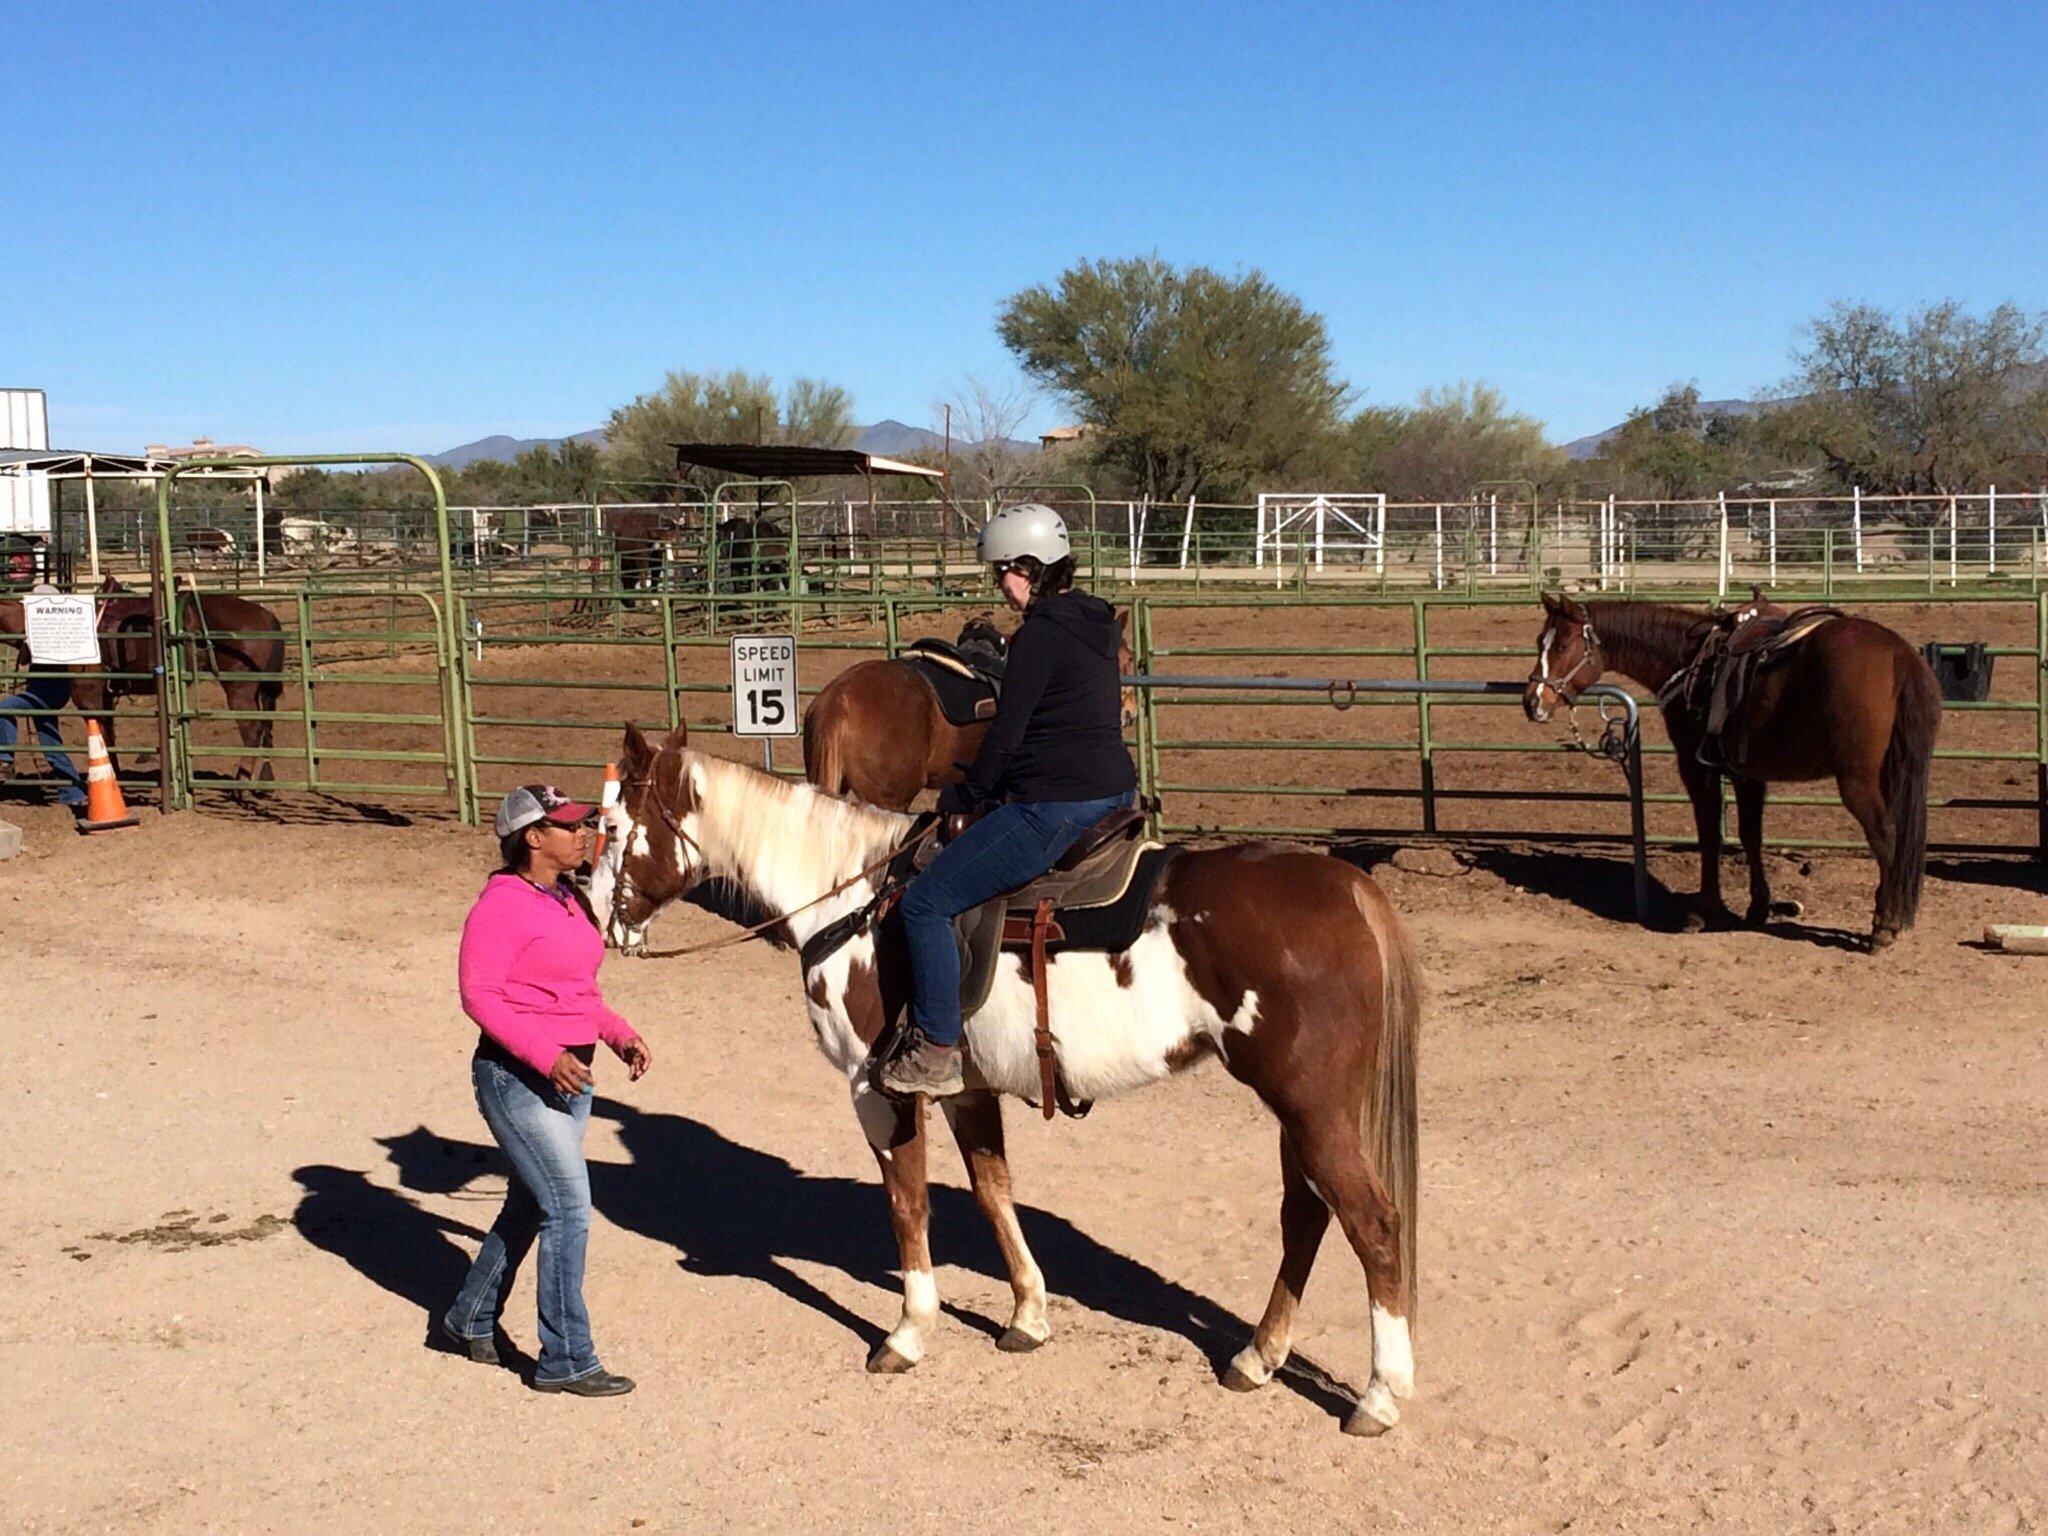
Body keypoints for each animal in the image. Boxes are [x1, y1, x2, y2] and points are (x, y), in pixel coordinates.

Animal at [589, 729, 1425, 1441]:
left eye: (612, 825)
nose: (597, 916)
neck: (853, 900)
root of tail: (1346, 887)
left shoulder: (877, 1090)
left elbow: (908, 1206)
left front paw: (908, 1332)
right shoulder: (967, 1090)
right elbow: (994, 1193)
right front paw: (1027, 1315)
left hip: (1312, 1109)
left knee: (1373, 1225)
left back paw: (1381, 1396)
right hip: (1299, 1113)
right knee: (1305, 1218)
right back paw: (1258, 1356)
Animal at [1531, 593, 1941, 946]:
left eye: (1562, 646)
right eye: (1539, 642)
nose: (1532, 701)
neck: (1690, 662)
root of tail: (1899, 654)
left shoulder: (1697, 769)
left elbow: (1710, 836)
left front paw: (1704, 911)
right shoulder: (1748, 775)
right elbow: (1750, 835)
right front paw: (1758, 907)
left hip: (1858, 782)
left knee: (1886, 837)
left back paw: (1883, 927)